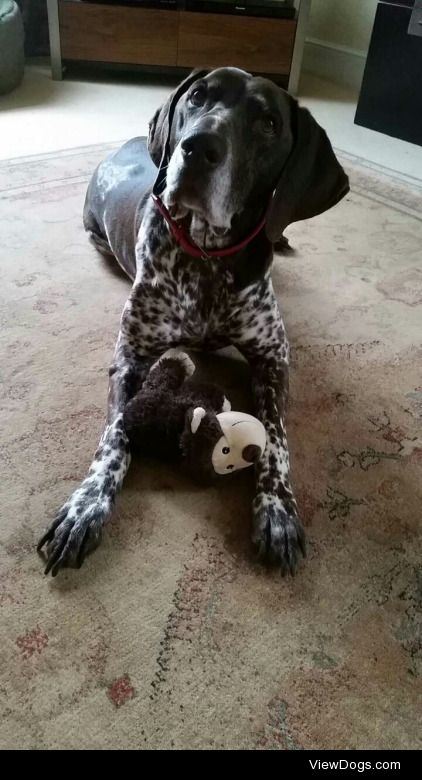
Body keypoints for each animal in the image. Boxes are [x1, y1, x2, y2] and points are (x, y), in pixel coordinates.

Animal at [38, 67, 350, 576]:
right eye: (198, 97)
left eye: (268, 123)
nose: (198, 147)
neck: (206, 257)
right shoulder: (130, 361)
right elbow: (115, 434)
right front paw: (86, 507)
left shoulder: (274, 361)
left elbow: (277, 441)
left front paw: (278, 512)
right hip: (94, 233)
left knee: (279, 225)